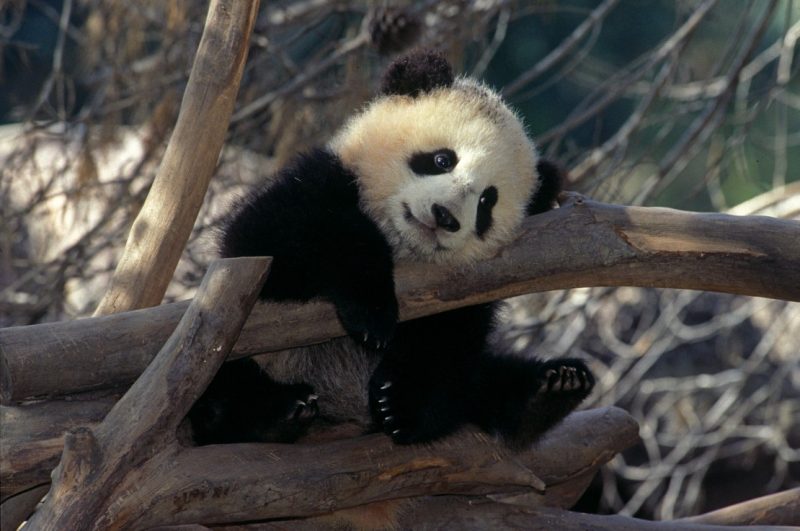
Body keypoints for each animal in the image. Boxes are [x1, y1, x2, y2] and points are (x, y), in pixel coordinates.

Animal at [188, 50, 594, 448]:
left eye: (486, 203)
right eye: (442, 159)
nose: (445, 216)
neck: (402, 245)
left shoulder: (467, 291)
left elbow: (447, 344)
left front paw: (399, 404)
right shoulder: (320, 181)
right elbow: (276, 236)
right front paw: (373, 312)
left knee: (484, 381)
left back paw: (553, 388)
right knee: (224, 385)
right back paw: (277, 411)